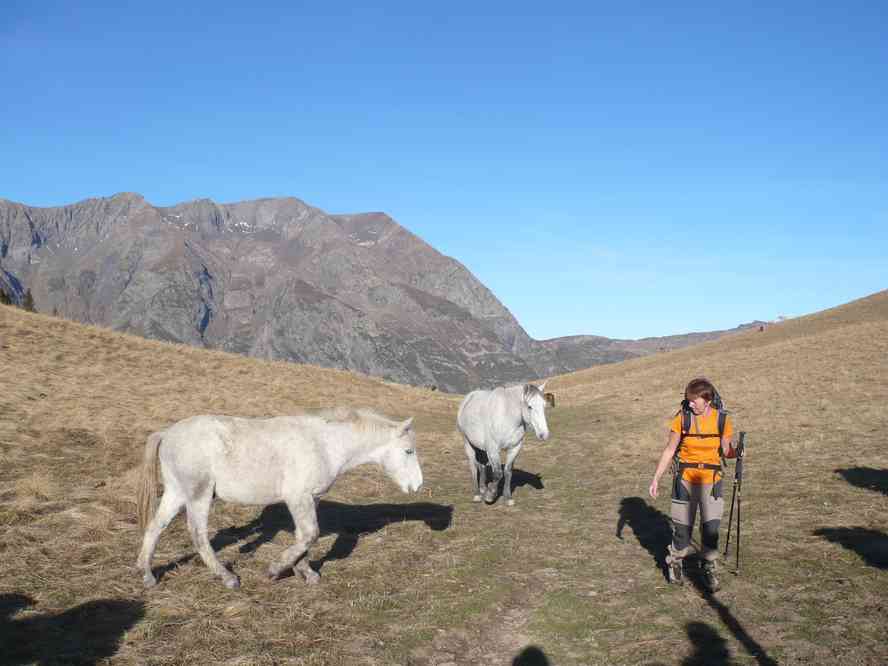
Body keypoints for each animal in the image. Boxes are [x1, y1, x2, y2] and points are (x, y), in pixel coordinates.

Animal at [136, 407, 423, 589]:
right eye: (408, 451)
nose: (417, 485)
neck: (326, 444)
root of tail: (167, 433)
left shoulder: (311, 499)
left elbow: (304, 537)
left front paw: (304, 572)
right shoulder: (298, 497)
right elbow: (309, 535)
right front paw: (276, 570)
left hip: (176, 492)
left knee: (155, 527)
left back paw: (147, 575)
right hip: (199, 494)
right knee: (198, 535)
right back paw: (227, 577)